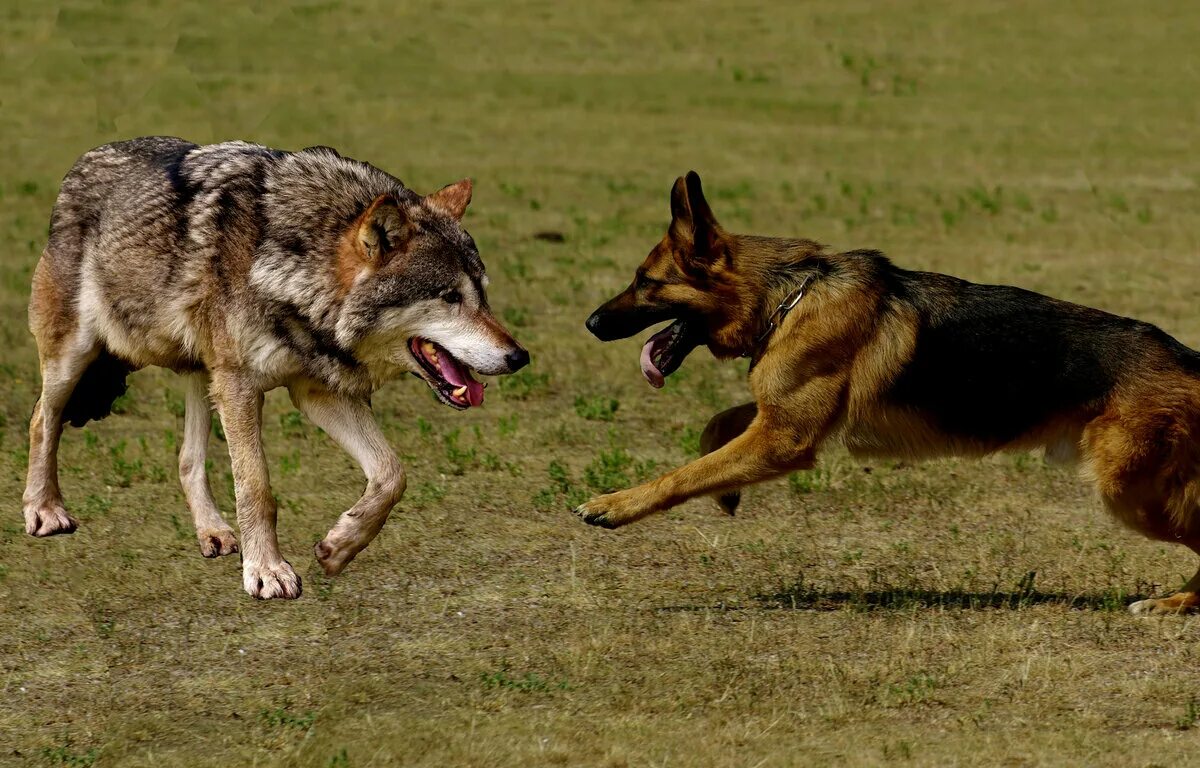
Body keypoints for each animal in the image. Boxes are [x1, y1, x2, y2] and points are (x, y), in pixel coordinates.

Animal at [22, 138, 530, 600]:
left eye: (483, 294)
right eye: (449, 296)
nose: (519, 356)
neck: (292, 268)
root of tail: (82, 162)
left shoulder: (317, 392)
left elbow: (392, 474)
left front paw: (340, 547)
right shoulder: (242, 387)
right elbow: (257, 488)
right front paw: (266, 571)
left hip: (204, 376)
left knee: (187, 460)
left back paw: (213, 532)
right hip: (76, 358)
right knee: (41, 420)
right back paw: (44, 511)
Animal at [580, 170, 1200, 614]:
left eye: (645, 282)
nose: (589, 323)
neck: (787, 295)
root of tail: (1188, 359)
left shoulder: (783, 440)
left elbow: (682, 474)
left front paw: (614, 504)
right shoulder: (782, 421)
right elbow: (716, 434)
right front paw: (725, 492)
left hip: (1127, 492)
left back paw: (1173, 602)